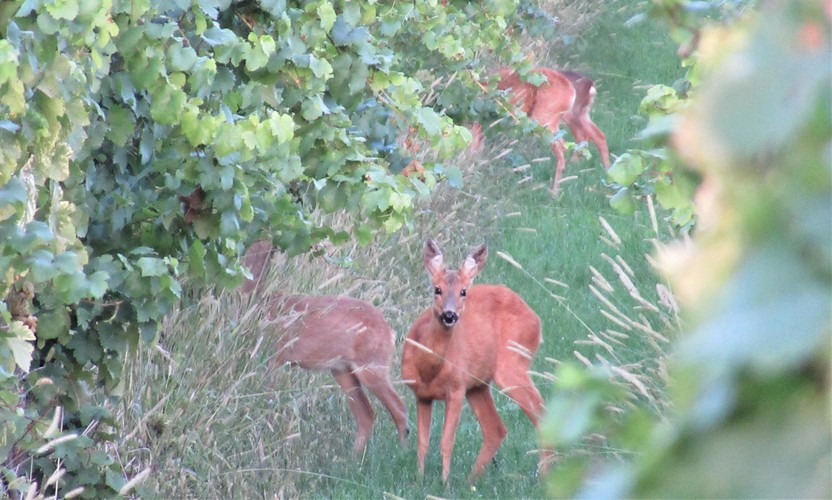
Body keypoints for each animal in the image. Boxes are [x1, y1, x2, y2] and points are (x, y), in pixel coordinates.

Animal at [240, 240, 410, 456]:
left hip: (372, 366)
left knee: (399, 409)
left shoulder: (275, 357)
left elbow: (269, 397)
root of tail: (390, 332)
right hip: (342, 370)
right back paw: (353, 458)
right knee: (367, 413)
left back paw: (403, 454)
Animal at [400, 240, 548, 482]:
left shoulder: (457, 388)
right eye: (437, 289)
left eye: (463, 292)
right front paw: (419, 479)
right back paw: (471, 480)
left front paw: (444, 483)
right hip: (479, 383)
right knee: (495, 428)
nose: (449, 315)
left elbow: (446, 442)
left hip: (511, 365)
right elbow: (422, 443)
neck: (428, 369)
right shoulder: (421, 394)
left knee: (541, 414)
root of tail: (536, 319)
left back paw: (544, 475)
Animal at [494, 64, 612, 193]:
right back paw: (606, 173)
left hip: (547, 117)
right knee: (596, 136)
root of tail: (589, 83)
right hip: (579, 113)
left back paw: (554, 191)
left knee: (565, 145)